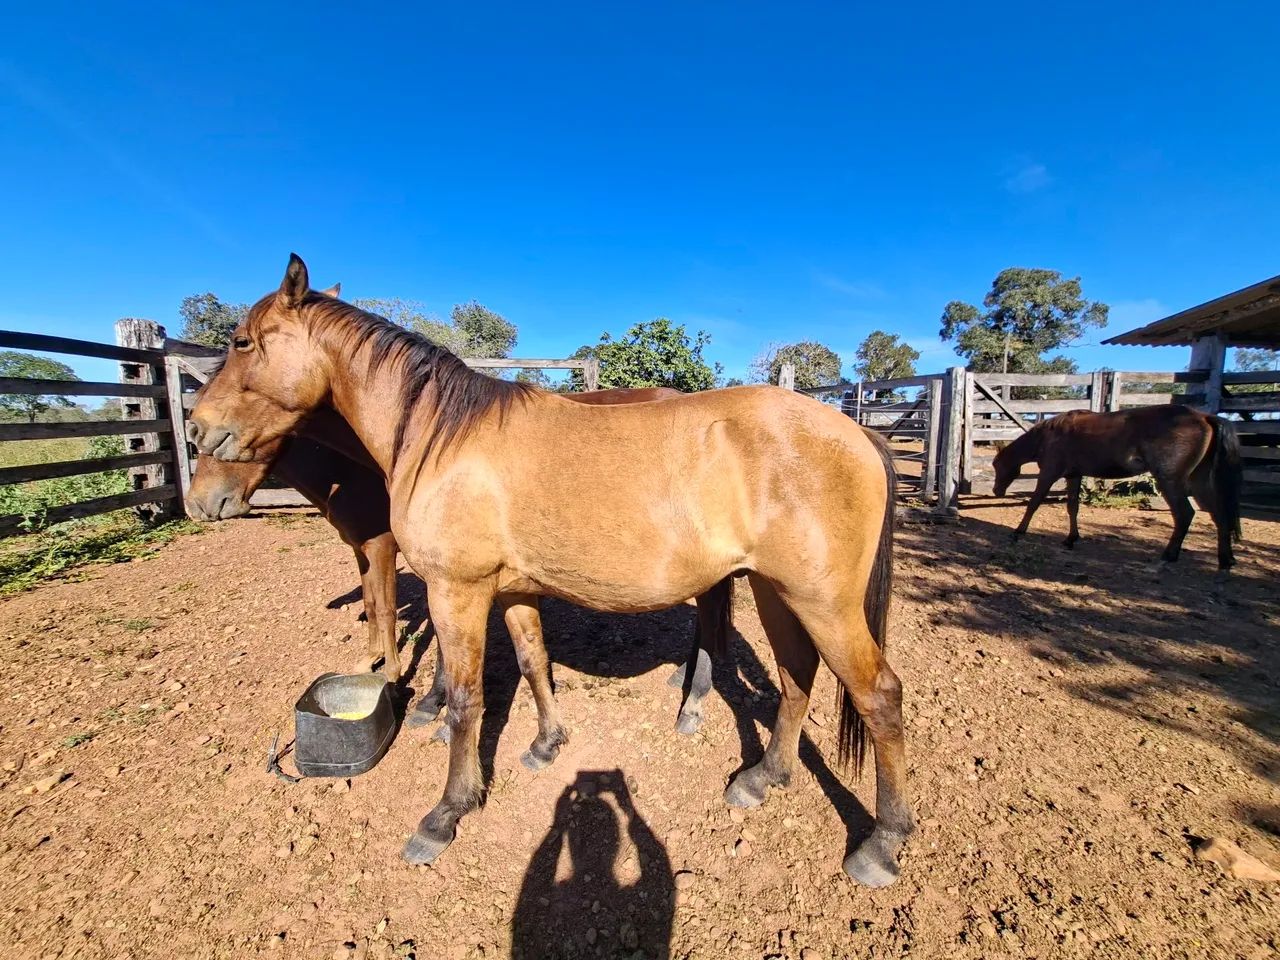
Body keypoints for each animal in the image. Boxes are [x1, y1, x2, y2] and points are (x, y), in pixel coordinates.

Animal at [186, 387, 731, 751]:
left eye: (215, 442)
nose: (201, 505)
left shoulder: (397, 552)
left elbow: (394, 614)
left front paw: (418, 696)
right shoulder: (374, 549)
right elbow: (375, 606)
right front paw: (383, 670)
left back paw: (693, 694)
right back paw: (684, 678)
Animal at [992, 405, 1243, 571]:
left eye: (996, 465)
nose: (996, 491)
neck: (1048, 435)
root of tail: (1205, 417)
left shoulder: (1049, 473)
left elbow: (1034, 503)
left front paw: (1018, 532)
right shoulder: (1074, 475)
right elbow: (1073, 507)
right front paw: (1071, 539)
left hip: (1170, 479)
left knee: (1185, 514)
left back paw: (1166, 557)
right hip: (1199, 480)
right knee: (1219, 515)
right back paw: (1225, 560)